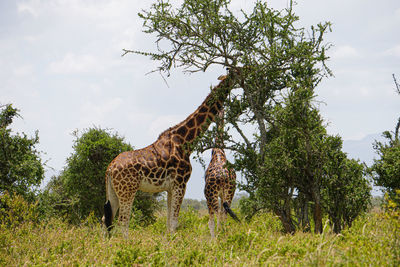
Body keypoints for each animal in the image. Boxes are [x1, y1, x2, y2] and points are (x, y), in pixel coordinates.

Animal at [205, 110, 239, 238]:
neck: (218, 151)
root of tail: (223, 177)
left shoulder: (208, 196)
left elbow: (210, 221)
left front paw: (213, 238)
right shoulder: (222, 194)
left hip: (211, 195)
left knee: (218, 213)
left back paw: (219, 236)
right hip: (230, 192)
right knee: (225, 212)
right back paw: (225, 234)